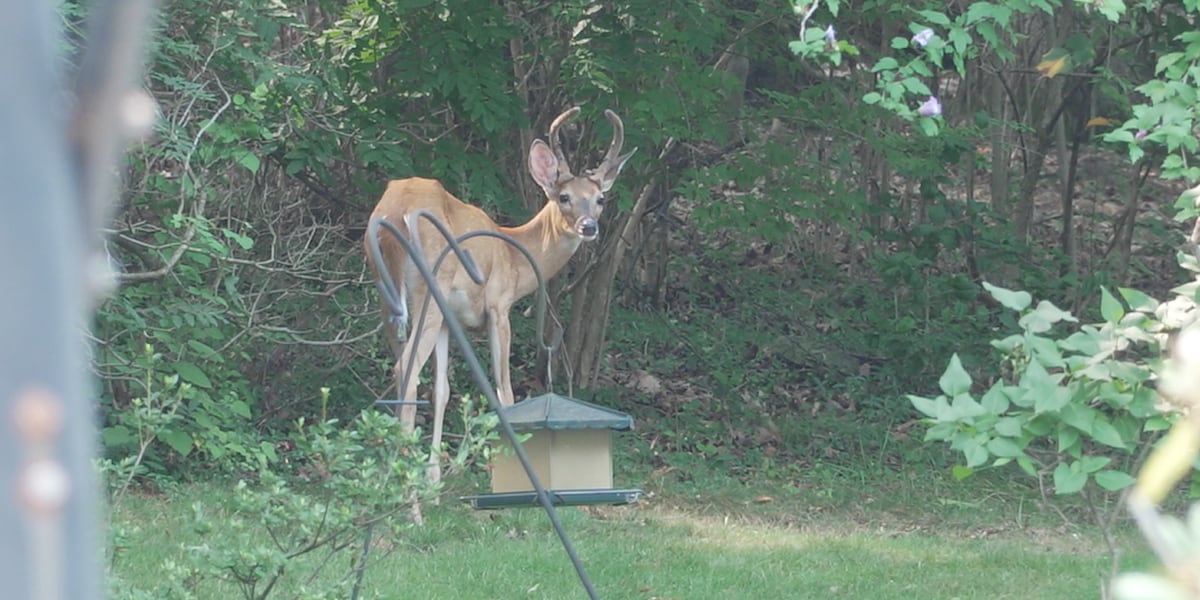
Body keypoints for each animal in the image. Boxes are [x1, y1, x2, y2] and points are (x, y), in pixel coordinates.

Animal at [364, 107, 635, 484]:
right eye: (564, 197)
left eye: (600, 199)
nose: (589, 227)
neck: (515, 257)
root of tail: (393, 215)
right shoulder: (498, 305)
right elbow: (504, 392)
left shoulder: (450, 321)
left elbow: (443, 391)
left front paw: (436, 475)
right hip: (429, 286)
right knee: (406, 369)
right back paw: (405, 482)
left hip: (387, 293)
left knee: (406, 371)